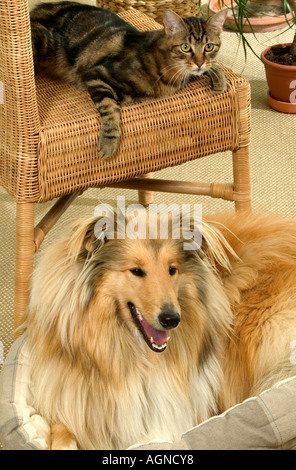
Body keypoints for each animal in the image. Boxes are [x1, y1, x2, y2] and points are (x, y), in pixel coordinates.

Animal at [30, 0, 227, 160]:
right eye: (186, 47)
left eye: (209, 47)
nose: (199, 62)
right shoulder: (97, 74)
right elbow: (110, 108)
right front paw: (109, 142)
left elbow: (212, 66)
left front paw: (219, 78)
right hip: (42, 44)